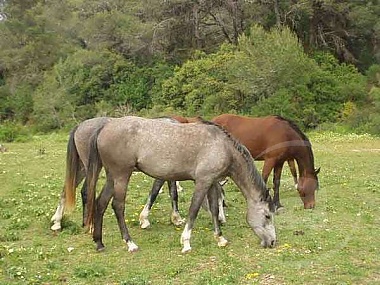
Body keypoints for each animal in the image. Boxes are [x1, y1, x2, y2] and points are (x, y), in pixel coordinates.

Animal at [76, 116, 274, 252]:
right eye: (267, 216)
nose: (272, 242)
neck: (223, 147)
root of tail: (105, 127)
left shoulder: (210, 182)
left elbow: (214, 210)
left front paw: (220, 239)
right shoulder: (202, 182)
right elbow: (194, 210)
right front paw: (186, 242)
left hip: (112, 177)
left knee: (101, 203)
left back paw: (99, 242)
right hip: (121, 175)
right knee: (117, 206)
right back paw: (130, 243)